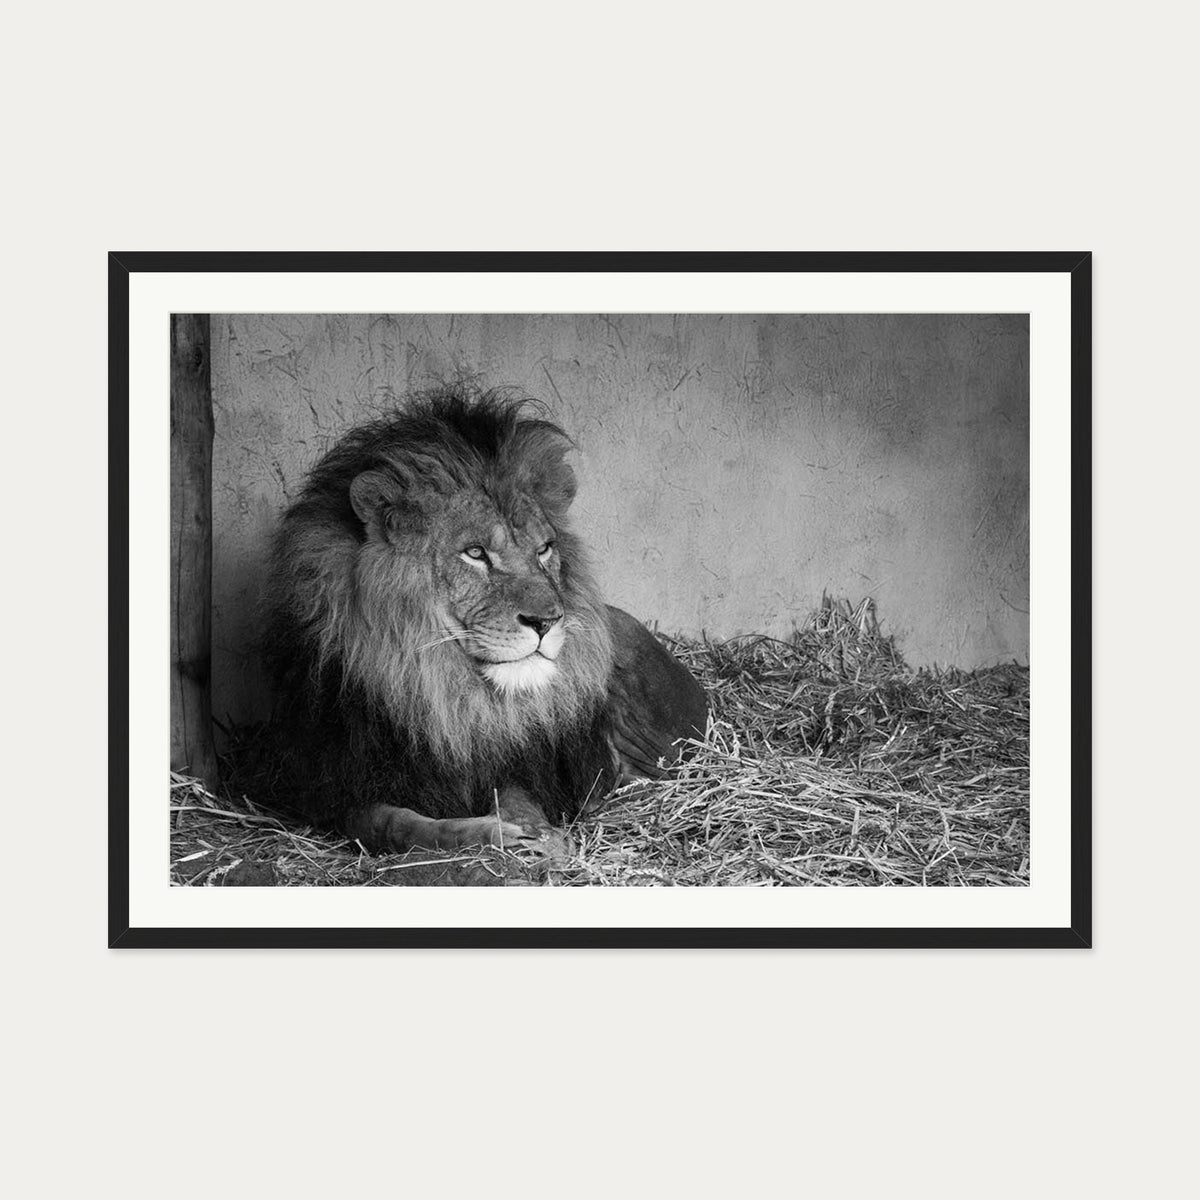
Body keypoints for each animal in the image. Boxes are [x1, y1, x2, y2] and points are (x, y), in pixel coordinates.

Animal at [262, 385, 708, 855]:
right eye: (475, 553)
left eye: (544, 549)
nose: (547, 621)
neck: (443, 694)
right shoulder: (335, 788)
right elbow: (396, 825)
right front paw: (489, 832)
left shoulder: (518, 764)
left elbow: (517, 797)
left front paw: (539, 835)